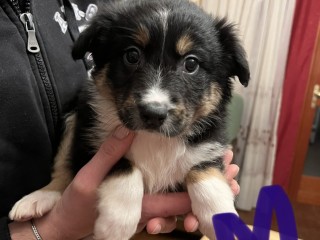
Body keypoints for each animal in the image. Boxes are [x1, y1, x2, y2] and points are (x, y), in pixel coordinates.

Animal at [9, 0, 250, 239]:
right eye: (132, 56)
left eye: (191, 64)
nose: (153, 114)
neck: (154, 139)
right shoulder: (90, 140)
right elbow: (124, 166)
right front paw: (116, 223)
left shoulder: (210, 143)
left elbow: (205, 171)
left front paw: (224, 219)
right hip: (73, 119)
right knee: (61, 170)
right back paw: (37, 199)